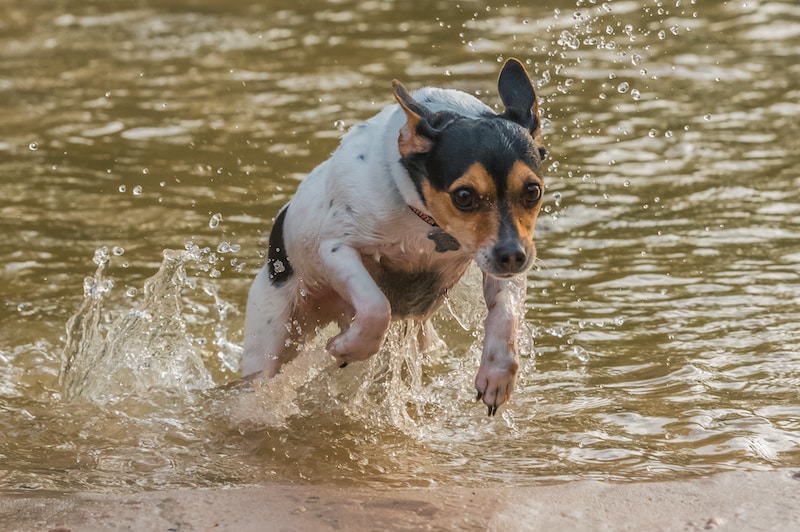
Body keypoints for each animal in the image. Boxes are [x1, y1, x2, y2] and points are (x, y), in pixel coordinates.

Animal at [241, 58, 548, 416]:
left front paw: (498, 373)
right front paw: (348, 348)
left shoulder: (499, 258)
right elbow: (377, 307)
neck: (424, 223)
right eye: (464, 196)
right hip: (272, 334)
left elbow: (505, 314)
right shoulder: (335, 248)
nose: (513, 256)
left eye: (533, 191)